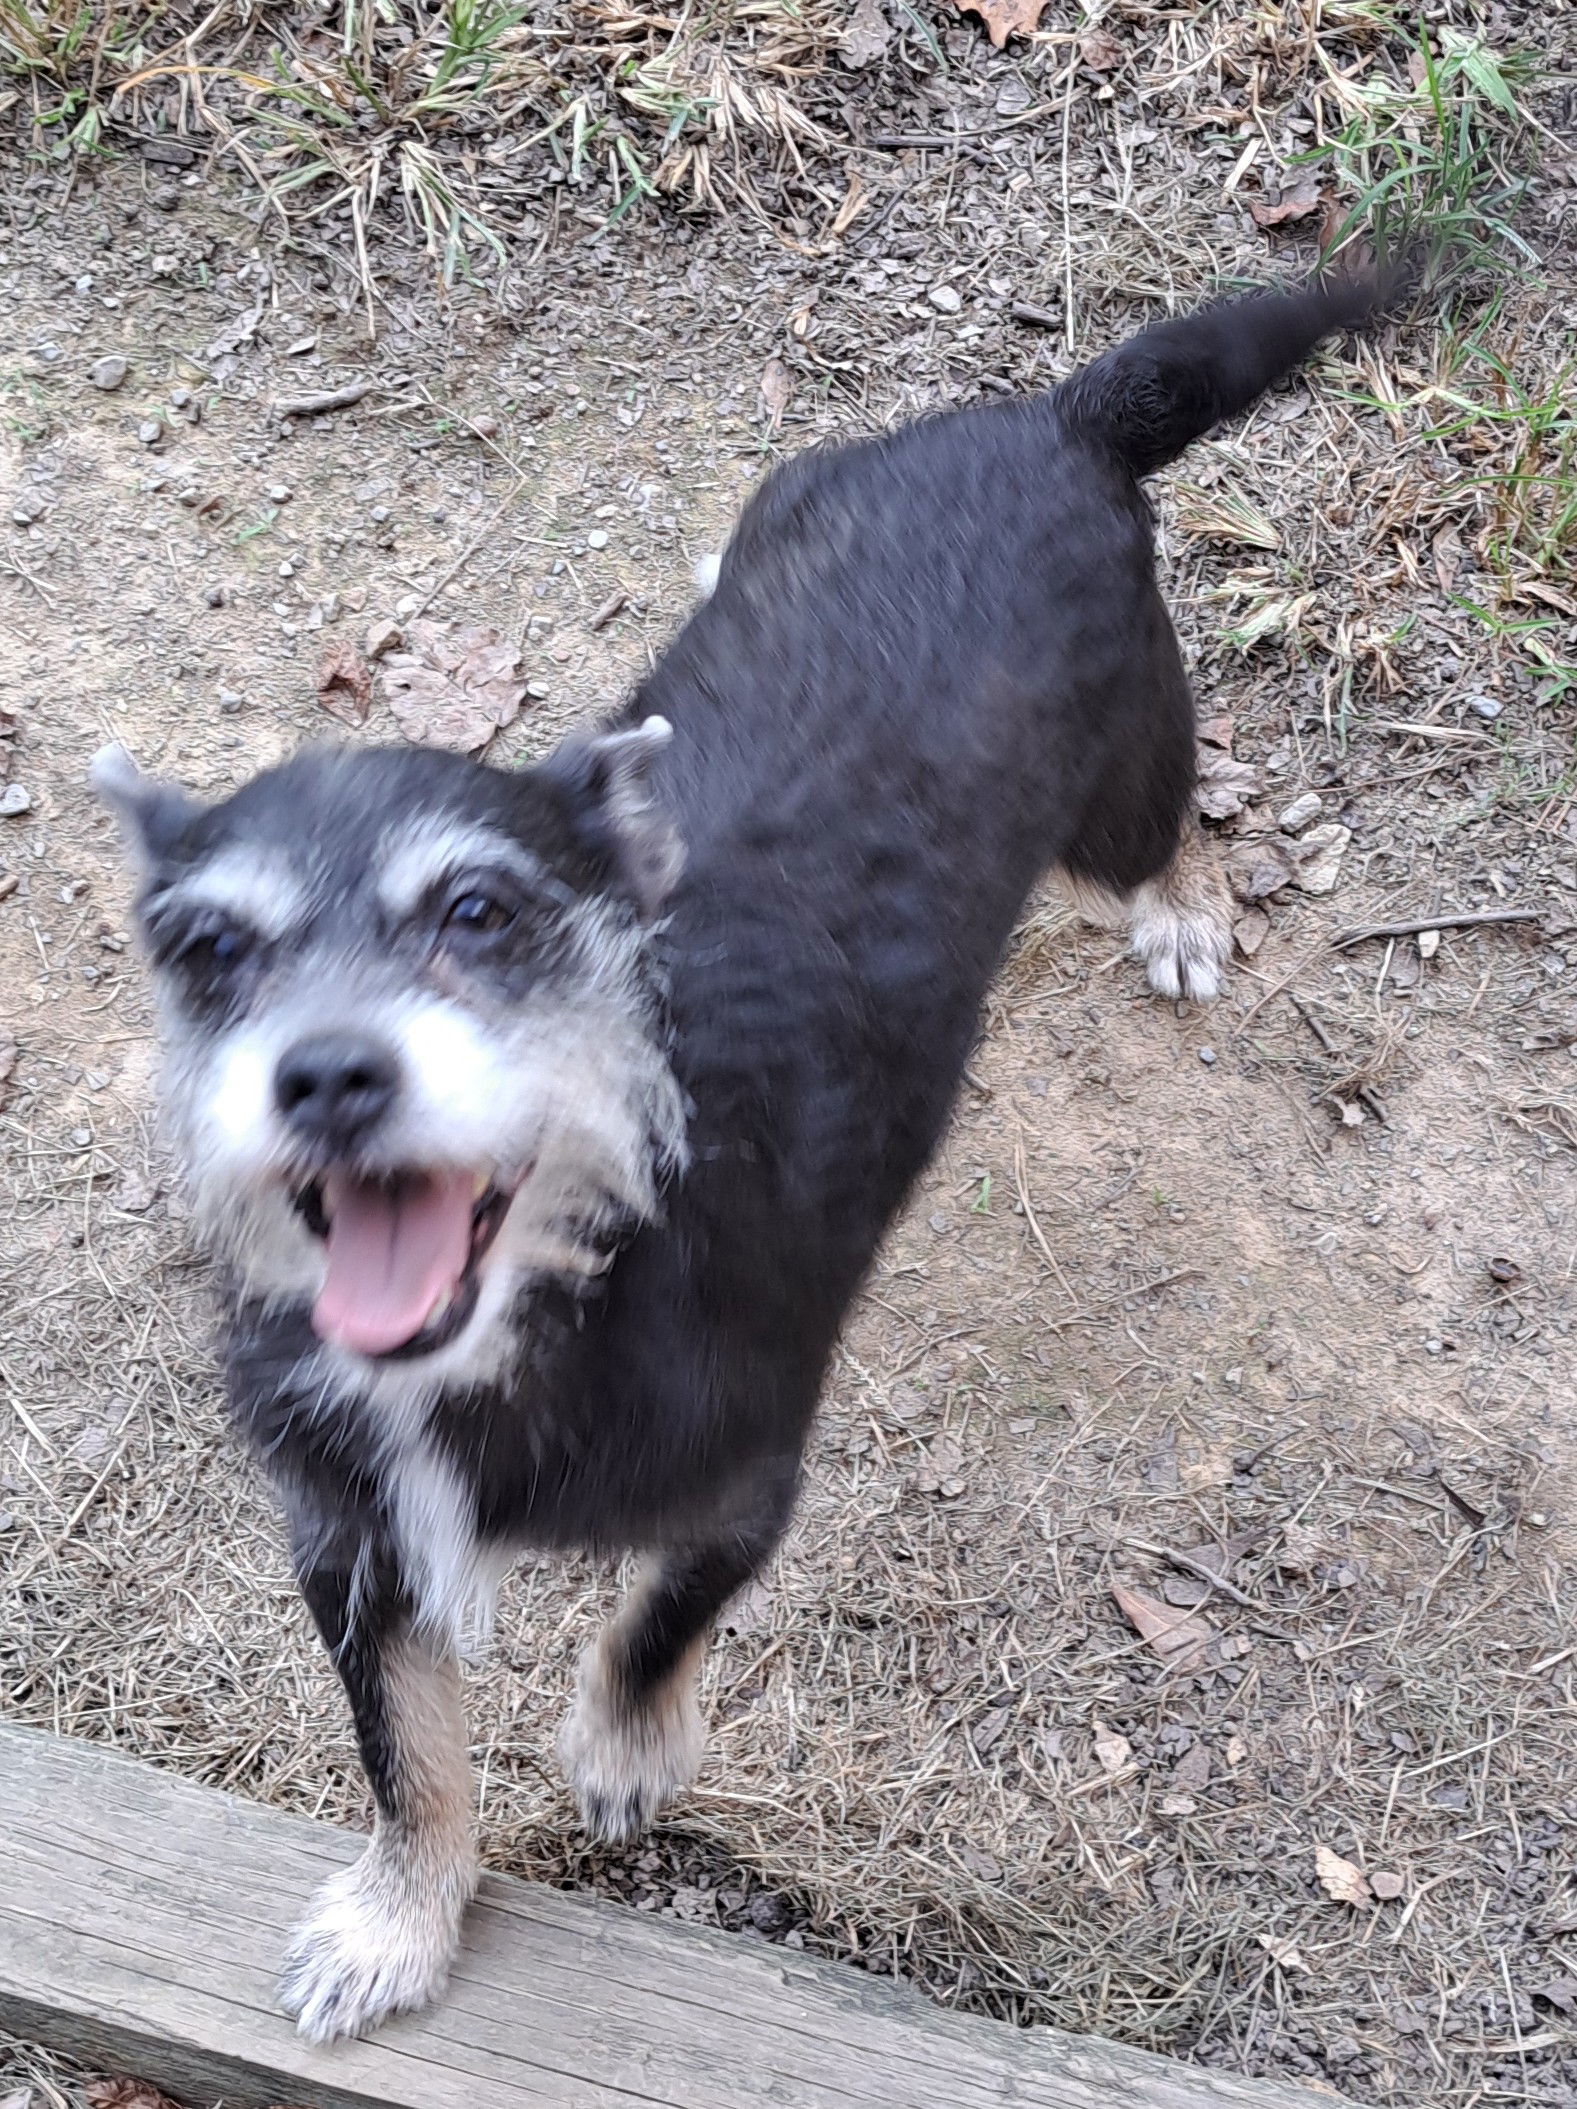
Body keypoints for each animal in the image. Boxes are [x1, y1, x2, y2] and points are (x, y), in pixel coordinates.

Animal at [95, 272, 1383, 2033]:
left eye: (479, 912)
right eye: (206, 948)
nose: (327, 1074)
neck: (576, 1276)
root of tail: (1048, 415)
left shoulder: (747, 1481)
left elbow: (659, 1618)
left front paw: (626, 1749)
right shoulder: (349, 1540)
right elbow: (402, 1750)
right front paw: (399, 1918)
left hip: (1124, 764)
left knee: (1172, 821)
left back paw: (1185, 910)